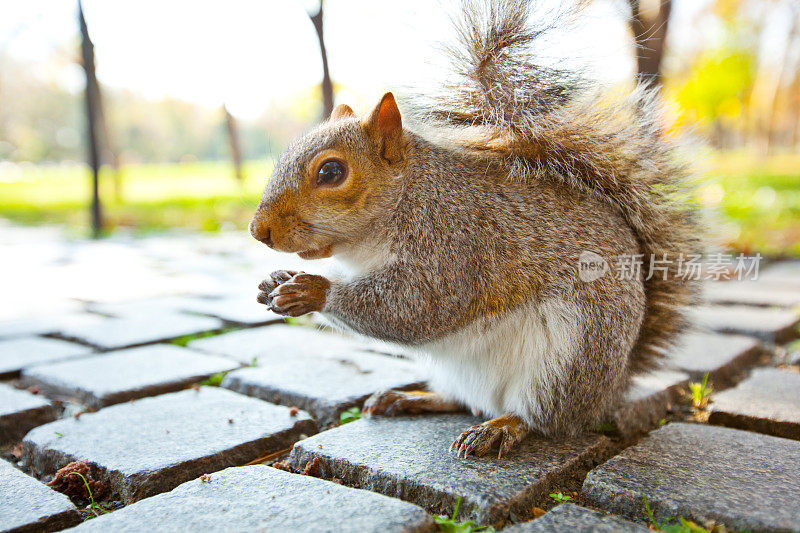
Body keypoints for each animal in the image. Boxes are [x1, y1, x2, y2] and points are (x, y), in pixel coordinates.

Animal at [252, 0, 700, 458]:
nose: (257, 231)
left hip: (568, 359)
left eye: (331, 171)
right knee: (462, 400)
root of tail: (612, 388)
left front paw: (311, 290)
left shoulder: (457, 242)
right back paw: (412, 398)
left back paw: (502, 427)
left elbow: (417, 305)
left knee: (543, 417)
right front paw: (277, 279)